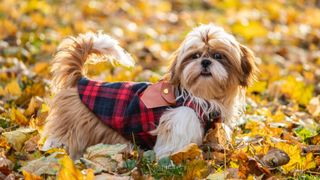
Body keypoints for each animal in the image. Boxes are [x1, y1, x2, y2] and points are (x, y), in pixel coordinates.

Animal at [42, 23, 258, 159]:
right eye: (195, 56)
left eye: (219, 56)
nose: (205, 61)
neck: (201, 95)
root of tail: (81, 79)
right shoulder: (179, 121)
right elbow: (173, 150)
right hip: (70, 129)